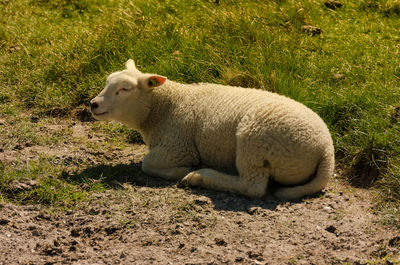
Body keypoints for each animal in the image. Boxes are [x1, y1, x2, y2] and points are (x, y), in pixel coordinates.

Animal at [90, 59, 334, 198]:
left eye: (124, 89)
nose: (93, 104)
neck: (164, 107)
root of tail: (326, 150)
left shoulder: (178, 147)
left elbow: (147, 164)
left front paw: (183, 170)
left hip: (254, 141)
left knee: (253, 187)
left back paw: (199, 176)